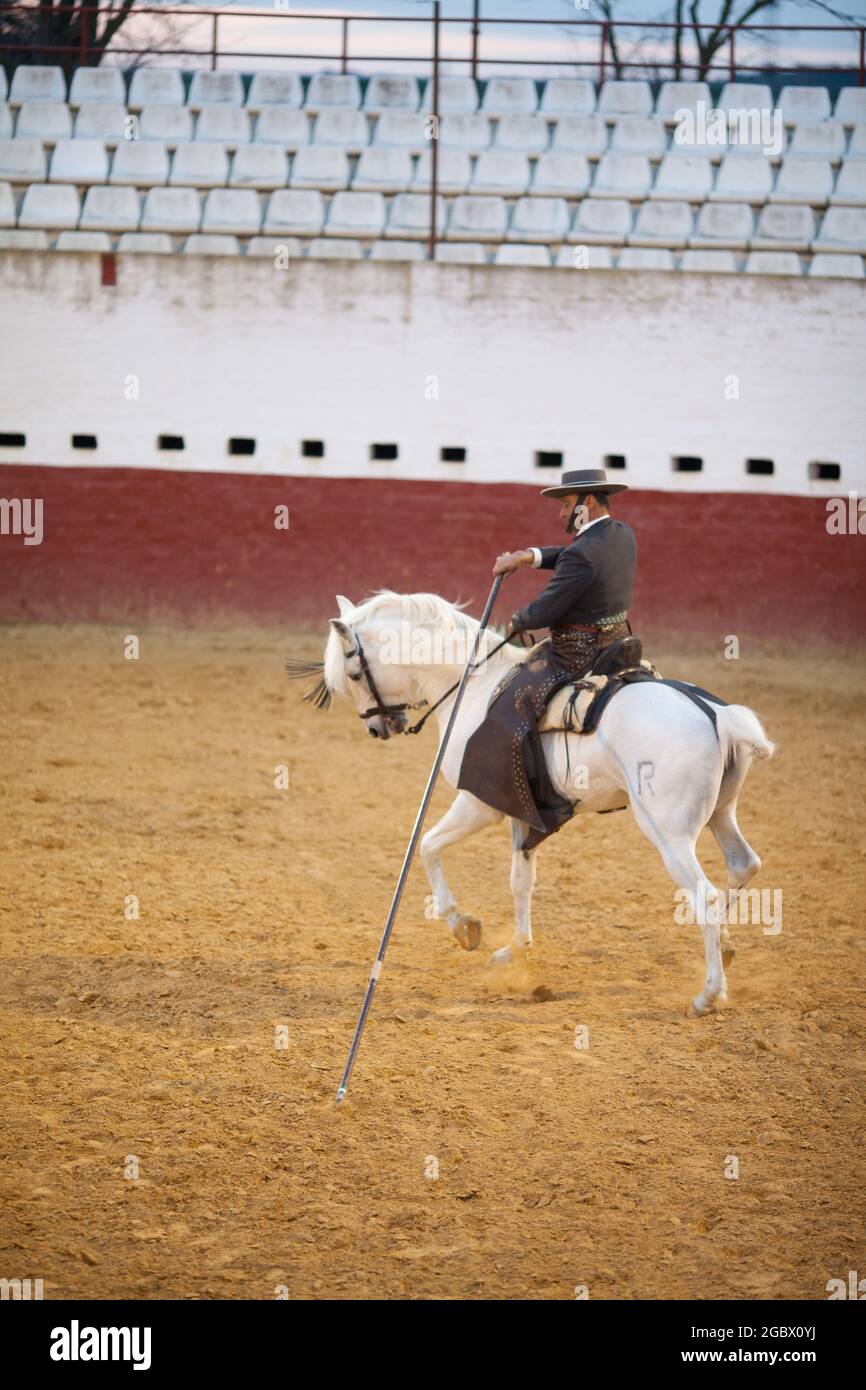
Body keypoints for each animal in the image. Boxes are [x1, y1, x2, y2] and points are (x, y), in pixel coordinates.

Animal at [308, 586, 778, 1011]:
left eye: (353, 674)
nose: (376, 728)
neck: (473, 685)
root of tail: (716, 713)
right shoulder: (523, 814)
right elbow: (521, 881)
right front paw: (513, 949)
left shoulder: (481, 804)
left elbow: (427, 845)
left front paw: (463, 924)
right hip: (721, 813)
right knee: (743, 864)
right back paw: (727, 945)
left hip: (668, 833)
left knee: (706, 895)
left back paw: (709, 994)